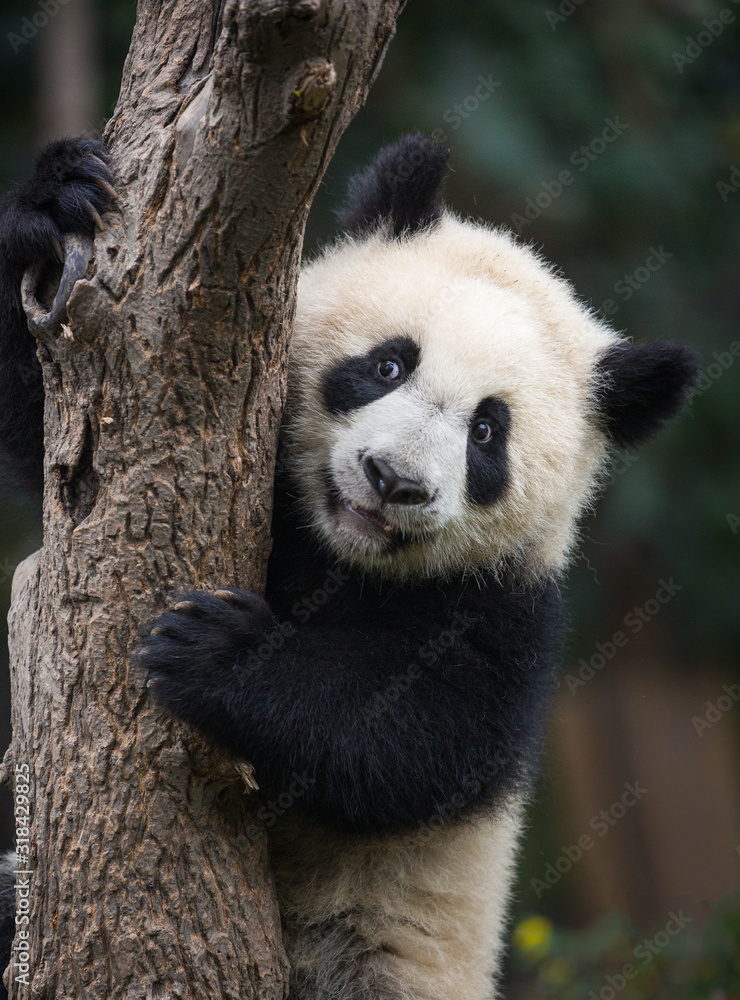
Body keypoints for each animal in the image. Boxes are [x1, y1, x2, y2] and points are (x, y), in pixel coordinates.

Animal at [0, 134, 697, 1000]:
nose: (392, 480)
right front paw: (55, 200)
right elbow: (49, 422)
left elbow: (416, 741)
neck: (339, 554)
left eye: (487, 433)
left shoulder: (505, 609)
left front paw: (220, 652)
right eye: (389, 365)